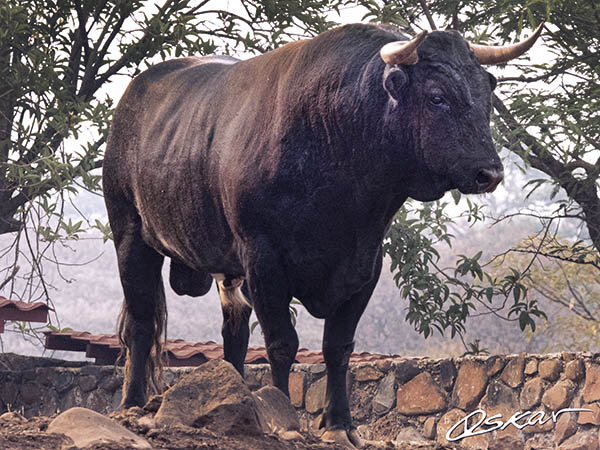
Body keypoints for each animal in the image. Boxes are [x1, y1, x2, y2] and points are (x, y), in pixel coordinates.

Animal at [103, 22, 543, 448]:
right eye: (437, 96)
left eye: (486, 95)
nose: (490, 172)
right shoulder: (263, 257)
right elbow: (282, 342)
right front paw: (283, 417)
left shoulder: (365, 264)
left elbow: (338, 346)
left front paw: (339, 425)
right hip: (130, 235)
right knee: (141, 321)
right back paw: (132, 403)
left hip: (226, 269)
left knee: (234, 333)